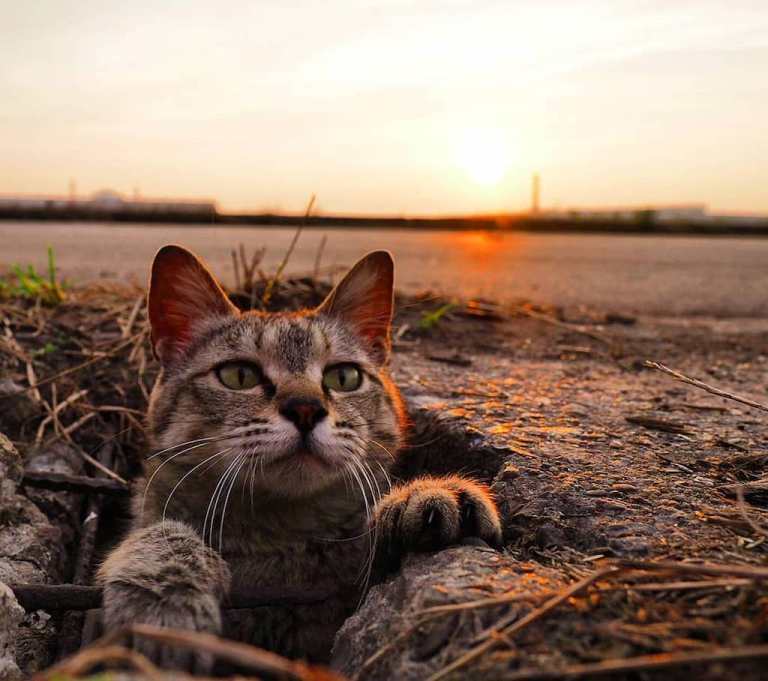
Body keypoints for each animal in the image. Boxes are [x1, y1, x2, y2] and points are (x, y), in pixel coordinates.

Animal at [97, 244, 504, 668]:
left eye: (344, 377)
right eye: (238, 375)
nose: (306, 408)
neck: (281, 528)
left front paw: (428, 494)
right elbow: (163, 533)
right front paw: (165, 595)